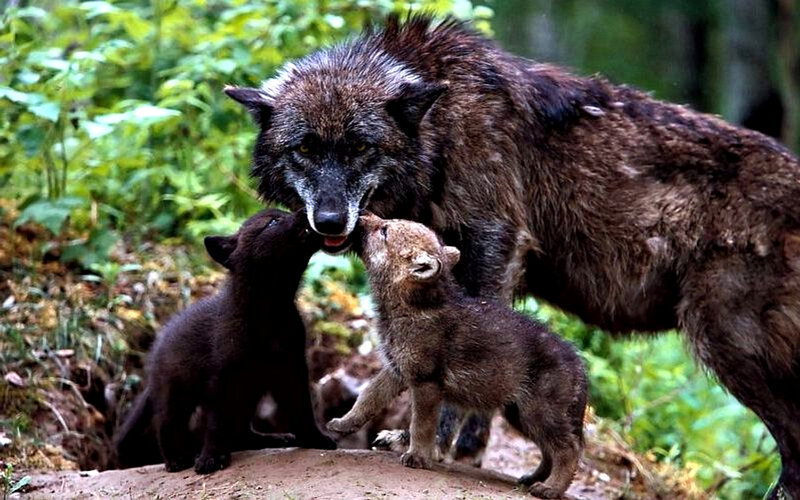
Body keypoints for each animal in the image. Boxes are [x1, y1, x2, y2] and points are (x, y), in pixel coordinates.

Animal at [114, 209, 335, 474]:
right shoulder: (223, 376)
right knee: (166, 424)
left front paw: (315, 439)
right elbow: (216, 422)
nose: (304, 211)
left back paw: (272, 439)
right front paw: (210, 458)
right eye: (273, 221)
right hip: (175, 392)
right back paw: (176, 460)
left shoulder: (291, 367)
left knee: (240, 429)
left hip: (250, 389)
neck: (270, 310)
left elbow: (302, 410)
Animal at [327, 214, 587, 498]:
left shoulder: (426, 382)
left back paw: (550, 489)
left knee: (568, 449)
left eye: (384, 231)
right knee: (550, 450)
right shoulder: (396, 371)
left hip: (537, 411)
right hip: (519, 414)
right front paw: (343, 423)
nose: (362, 216)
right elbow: (367, 398)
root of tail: (580, 366)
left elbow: (422, 424)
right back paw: (532, 479)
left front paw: (417, 457)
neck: (411, 309)